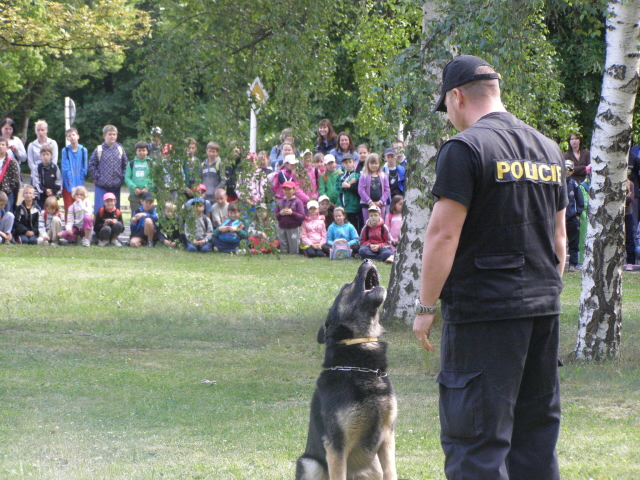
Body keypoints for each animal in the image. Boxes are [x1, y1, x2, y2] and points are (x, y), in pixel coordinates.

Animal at [296, 258, 398, 480]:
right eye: (346, 287)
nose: (367, 259)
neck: (359, 367)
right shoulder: (337, 446)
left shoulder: (387, 438)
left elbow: (392, 472)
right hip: (309, 463)